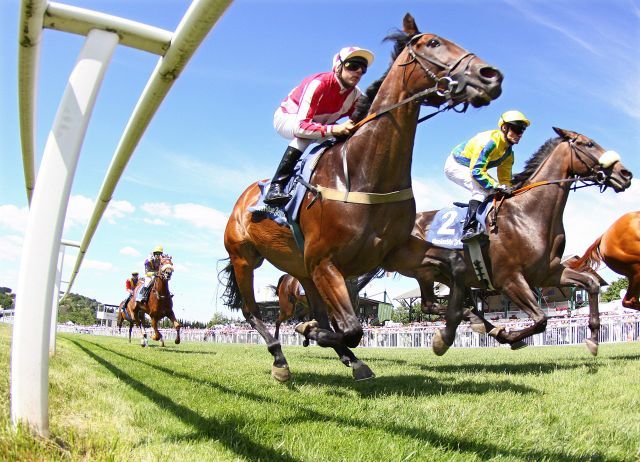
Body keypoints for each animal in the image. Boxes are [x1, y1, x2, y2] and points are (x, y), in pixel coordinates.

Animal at [220, 13, 504, 382]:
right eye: (433, 42)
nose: (491, 75)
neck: (363, 171)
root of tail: (242, 201)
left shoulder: (392, 253)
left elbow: (451, 271)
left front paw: (452, 330)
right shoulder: (325, 262)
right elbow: (351, 328)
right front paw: (310, 333)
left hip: (302, 272)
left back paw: (347, 358)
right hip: (245, 258)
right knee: (252, 311)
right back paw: (282, 359)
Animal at [382, 128, 632, 356]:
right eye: (588, 144)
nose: (626, 174)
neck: (528, 213)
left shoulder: (547, 272)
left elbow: (591, 283)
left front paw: (593, 338)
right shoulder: (509, 279)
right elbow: (541, 319)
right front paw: (511, 337)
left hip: (426, 273)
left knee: (431, 304)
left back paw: (482, 325)